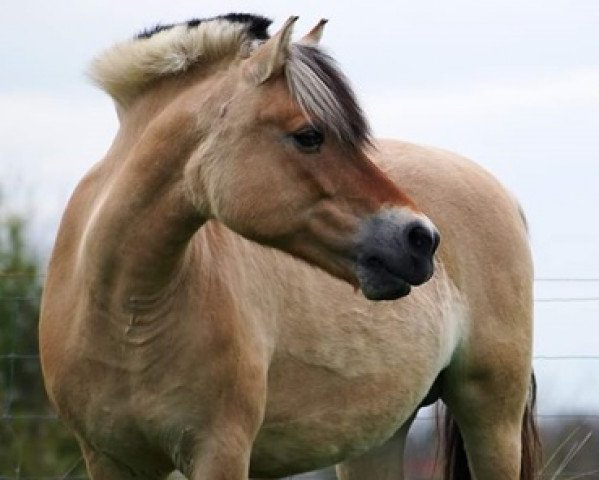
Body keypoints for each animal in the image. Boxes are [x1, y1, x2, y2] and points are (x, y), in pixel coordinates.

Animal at [39, 14, 540, 480]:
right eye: (309, 135)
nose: (421, 238)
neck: (127, 314)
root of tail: (504, 194)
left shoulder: (219, 452)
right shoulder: (109, 460)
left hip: (492, 418)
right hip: (379, 438)